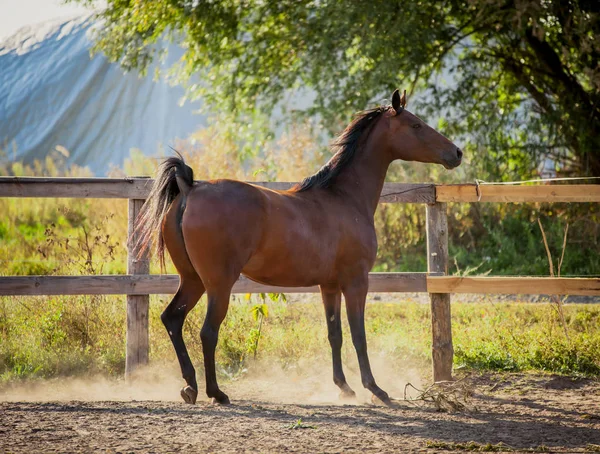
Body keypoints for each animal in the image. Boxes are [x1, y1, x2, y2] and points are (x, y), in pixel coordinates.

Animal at [137, 88, 464, 404]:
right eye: (416, 125)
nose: (456, 153)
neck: (344, 198)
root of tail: (189, 188)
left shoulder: (329, 286)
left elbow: (335, 334)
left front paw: (344, 388)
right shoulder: (356, 282)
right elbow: (358, 335)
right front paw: (376, 390)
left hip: (192, 280)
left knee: (172, 319)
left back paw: (190, 387)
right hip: (218, 284)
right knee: (208, 332)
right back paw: (216, 392)